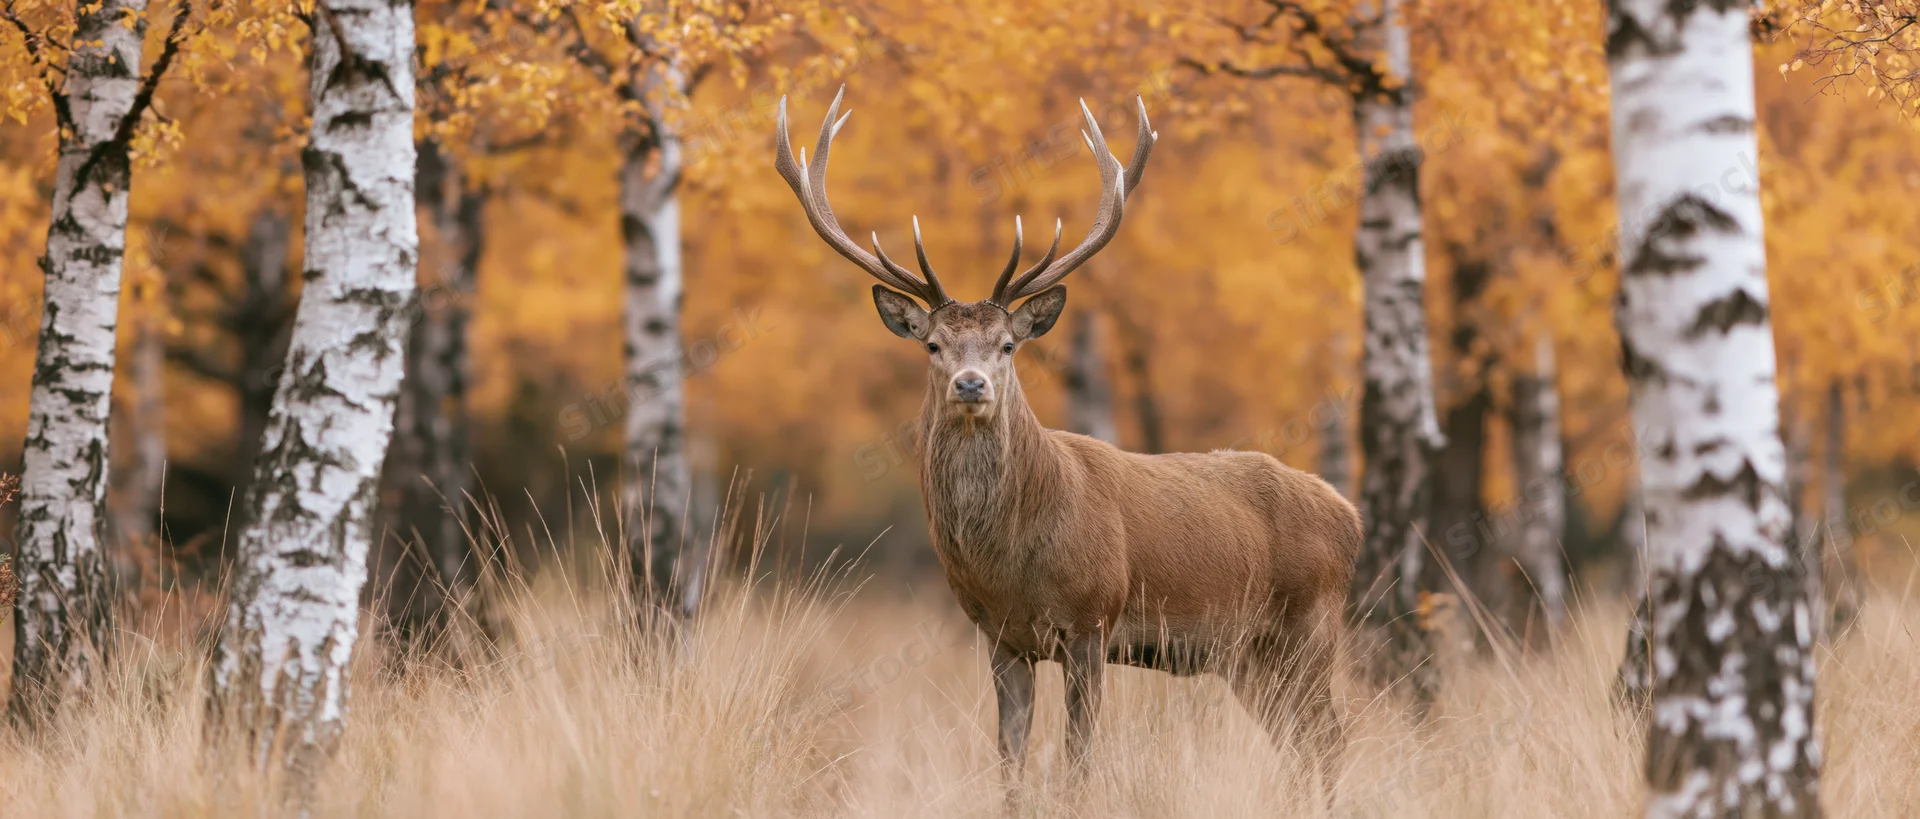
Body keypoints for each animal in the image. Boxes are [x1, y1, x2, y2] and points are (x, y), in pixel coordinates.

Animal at [774, 87, 1361, 791]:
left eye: (1007, 345)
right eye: (934, 345)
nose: (971, 384)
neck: (1011, 565)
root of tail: (1349, 515)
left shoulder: (1092, 621)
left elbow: (1079, 760)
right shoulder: (999, 636)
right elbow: (1009, 762)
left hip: (1311, 626)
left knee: (1331, 738)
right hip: (1246, 655)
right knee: (1300, 744)